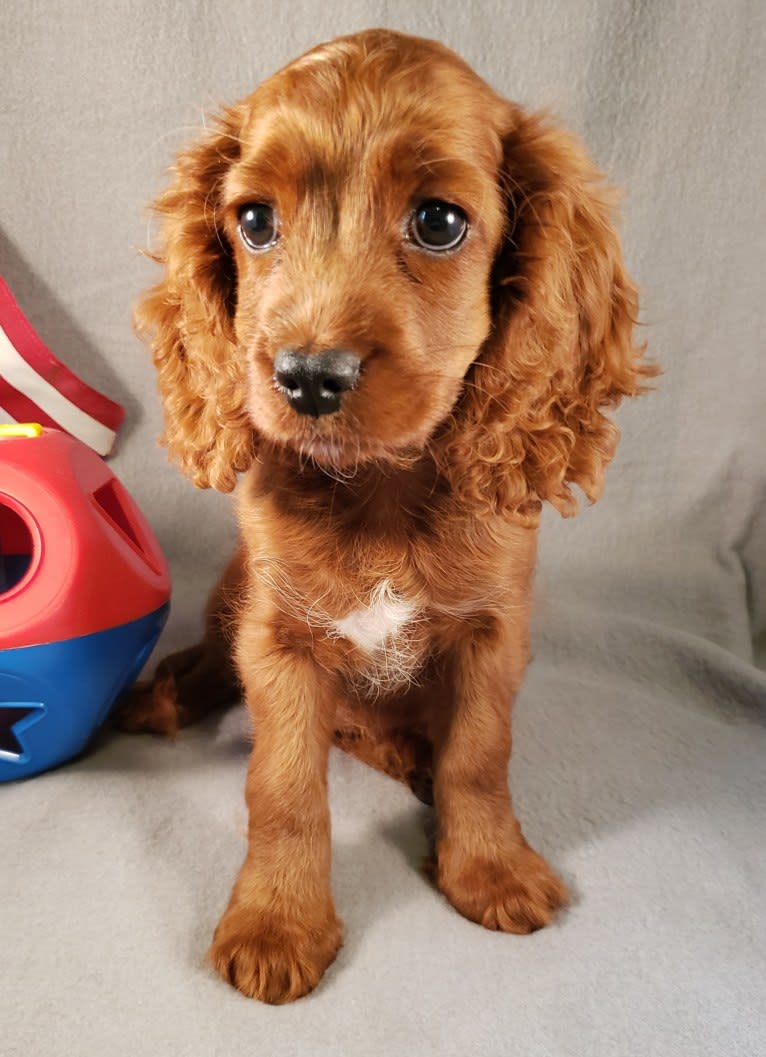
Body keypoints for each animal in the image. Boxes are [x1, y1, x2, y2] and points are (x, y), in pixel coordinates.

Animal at [117, 28, 650, 1006]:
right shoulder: (278, 639)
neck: (379, 490)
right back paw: (163, 698)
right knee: (212, 665)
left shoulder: (492, 632)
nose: (307, 378)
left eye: (438, 221)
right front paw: (276, 920)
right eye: (255, 221)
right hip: (229, 597)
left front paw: (490, 867)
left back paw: (414, 757)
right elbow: (283, 787)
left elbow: (480, 753)